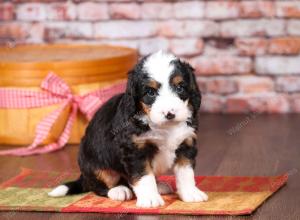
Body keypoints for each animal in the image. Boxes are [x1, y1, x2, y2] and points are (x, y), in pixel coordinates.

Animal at [49, 50, 209, 207]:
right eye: (150, 92)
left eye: (180, 87)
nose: (170, 114)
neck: (164, 127)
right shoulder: (135, 150)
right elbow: (144, 176)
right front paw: (150, 199)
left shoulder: (186, 143)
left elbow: (185, 172)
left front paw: (190, 193)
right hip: (92, 160)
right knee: (99, 184)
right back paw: (118, 190)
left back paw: (159, 186)